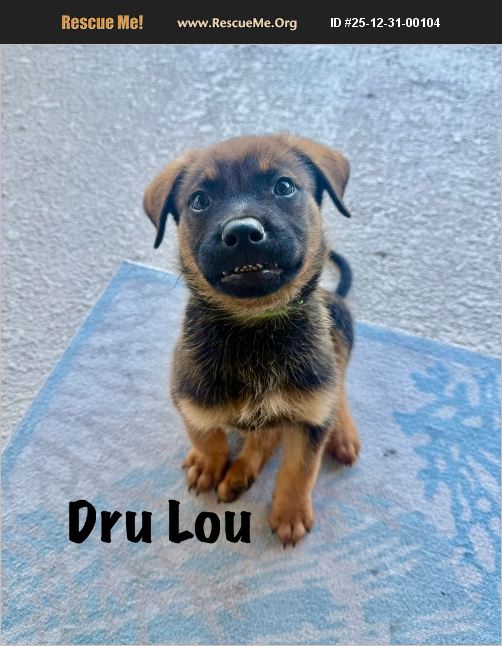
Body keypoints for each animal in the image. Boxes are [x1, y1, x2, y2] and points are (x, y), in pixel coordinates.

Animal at [143, 134, 360, 546]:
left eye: (284, 187)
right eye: (199, 200)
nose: (242, 232)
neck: (254, 328)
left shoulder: (309, 418)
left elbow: (299, 469)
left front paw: (290, 513)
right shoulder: (188, 396)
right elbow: (205, 434)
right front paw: (208, 465)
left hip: (338, 334)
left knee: (337, 387)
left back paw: (342, 434)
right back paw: (239, 471)